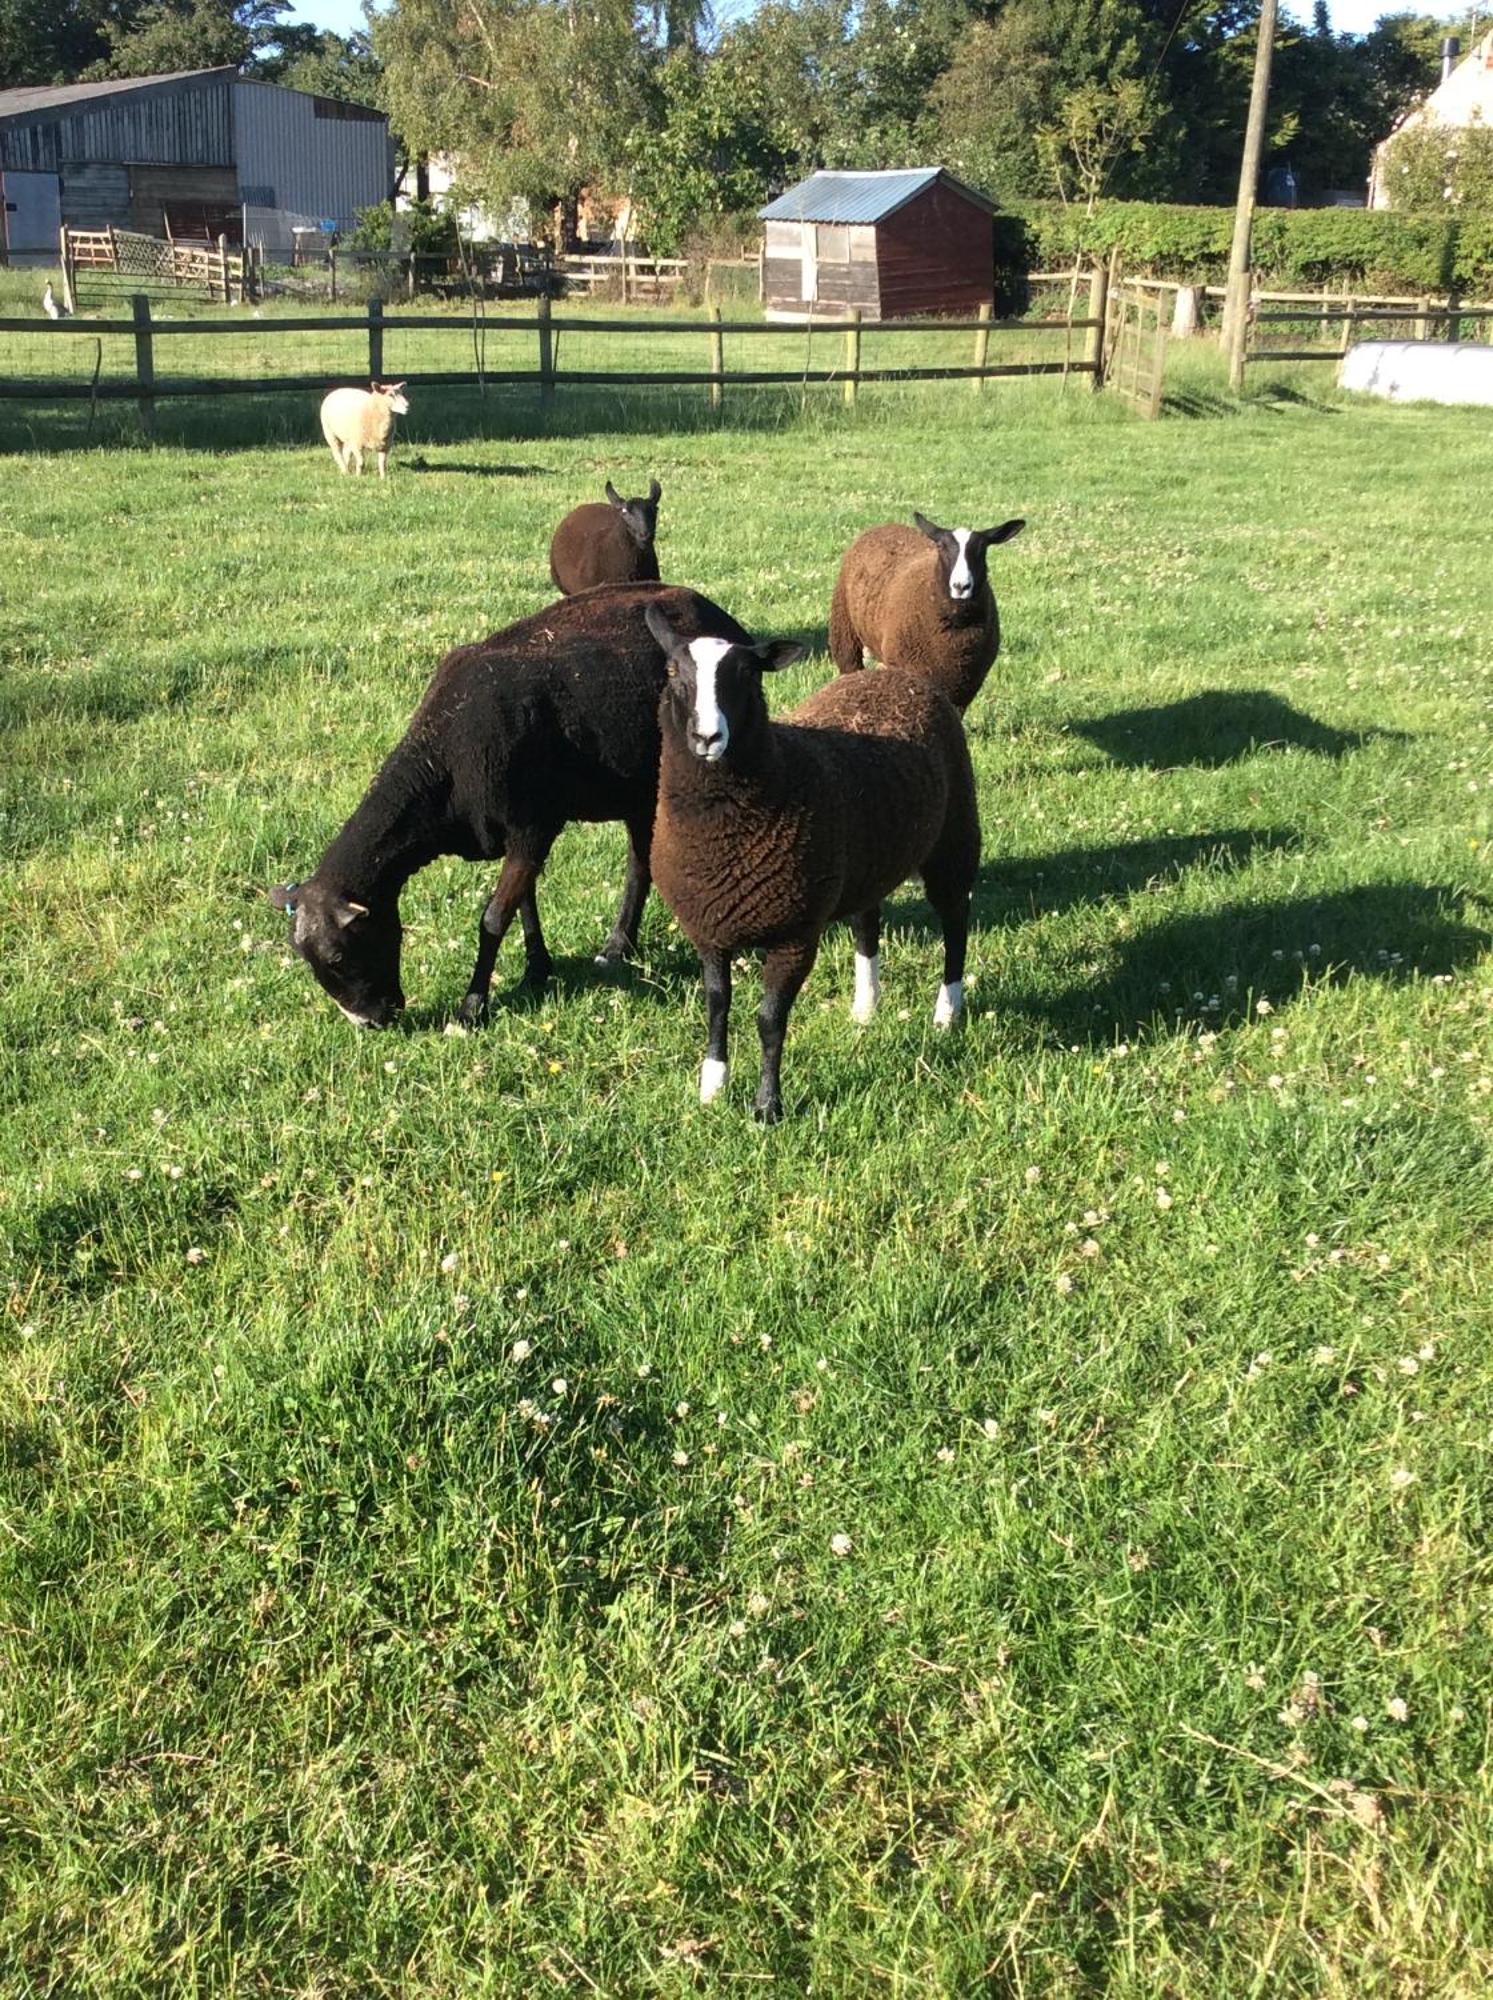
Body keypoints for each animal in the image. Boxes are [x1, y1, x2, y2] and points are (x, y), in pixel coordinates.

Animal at [264, 580, 744, 1024]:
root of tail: (713, 610)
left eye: (339, 956)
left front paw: (472, 1006)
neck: (443, 765)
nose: (371, 1021)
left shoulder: (534, 826)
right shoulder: (514, 834)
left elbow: (493, 919)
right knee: (639, 862)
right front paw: (536, 970)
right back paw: (617, 948)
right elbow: (524, 906)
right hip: (636, 789)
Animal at [824, 508, 1024, 712]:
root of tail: (884, 525)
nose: (961, 586)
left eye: (982, 550)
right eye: (941, 546)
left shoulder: (965, 687)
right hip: (844, 632)